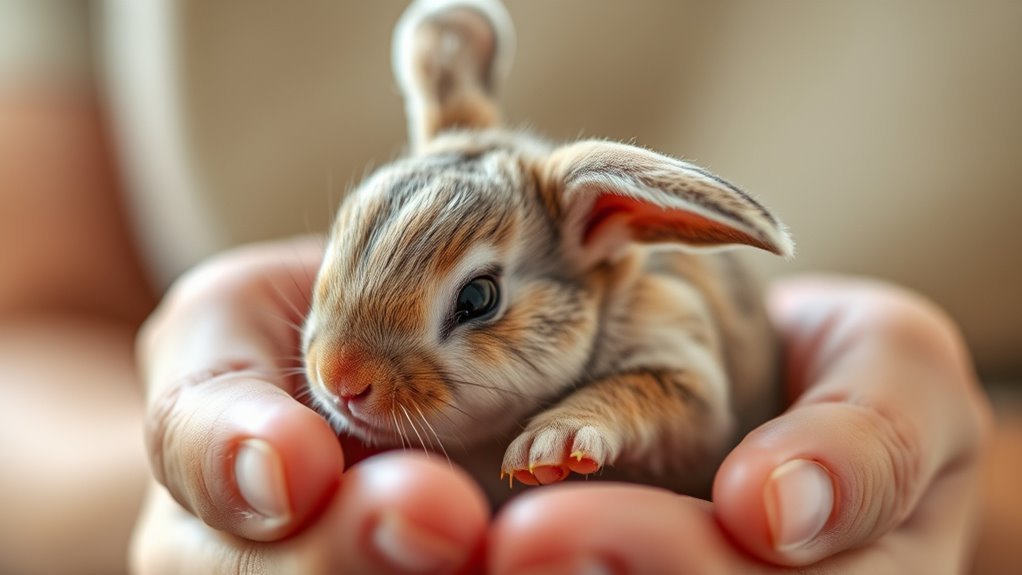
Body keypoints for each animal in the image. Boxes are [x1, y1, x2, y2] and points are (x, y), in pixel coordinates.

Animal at [302, 0, 793, 506]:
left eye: (478, 298)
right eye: (341, 231)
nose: (340, 380)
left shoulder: (689, 378)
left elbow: (638, 390)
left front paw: (553, 443)